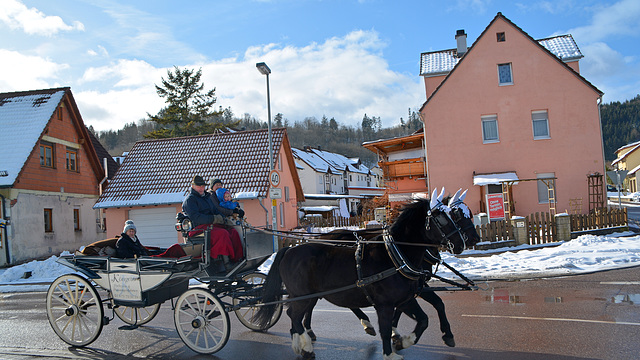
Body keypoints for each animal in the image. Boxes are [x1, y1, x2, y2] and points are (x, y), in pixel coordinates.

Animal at [252, 194, 468, 360]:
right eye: (443, 219)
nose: (462, 243)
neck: (395, 256)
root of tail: (289, 250)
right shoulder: (385, 304)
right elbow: (385, 328)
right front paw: (390, 352)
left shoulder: (405, 300)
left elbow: (423, 320)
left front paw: (403, 342)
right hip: (302, 296)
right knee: (294, 316)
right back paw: (306, 347)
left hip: (305, 296)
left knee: (295, 317)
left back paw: (301, 344)